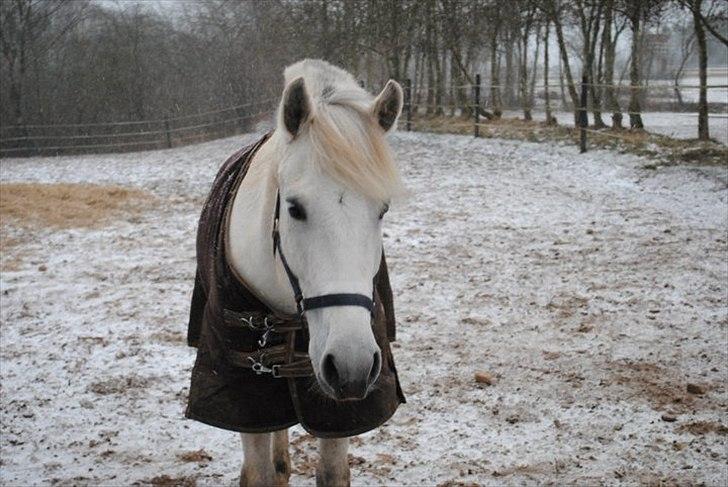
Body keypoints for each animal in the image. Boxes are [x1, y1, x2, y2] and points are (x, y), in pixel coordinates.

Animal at [226, 61, 404, 487]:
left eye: (382, 210)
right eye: (294, 208)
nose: (352, 365)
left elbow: (333, 472)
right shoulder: (244, 395)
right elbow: (257, 474)